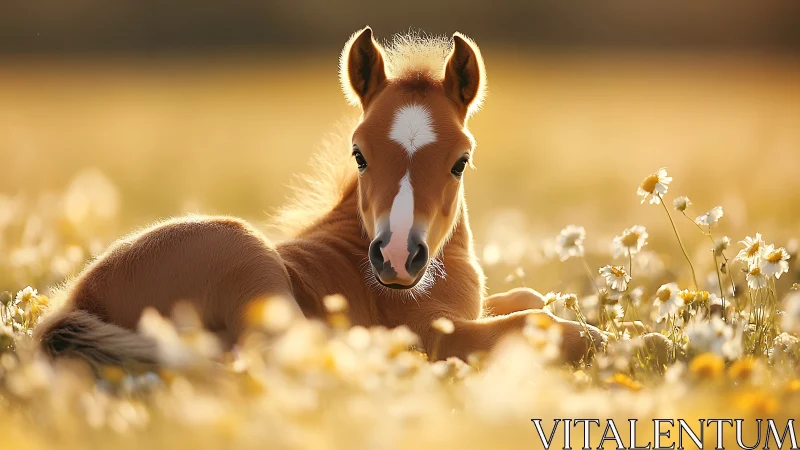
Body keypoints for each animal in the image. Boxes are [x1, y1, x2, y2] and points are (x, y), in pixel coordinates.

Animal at [35, 27, 606, 367]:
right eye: (359, 153)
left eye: (460, 160)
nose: (396, 257)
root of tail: (79, 303)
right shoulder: (437, 335)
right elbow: (551, 327)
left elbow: (529, 298)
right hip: (247, 257)